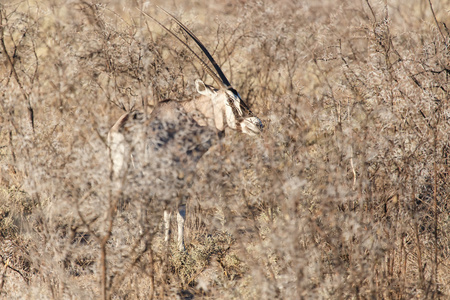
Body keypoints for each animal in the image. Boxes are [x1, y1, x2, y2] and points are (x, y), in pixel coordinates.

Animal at [107, 8, 262, 251]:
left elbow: (167, 212)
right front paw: (180, 249)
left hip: (119, 173)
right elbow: (179, 211)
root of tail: (124, 128)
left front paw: (169, 245)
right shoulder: (183, 172)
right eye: (230, 99)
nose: (257, 123)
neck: (191, 117)